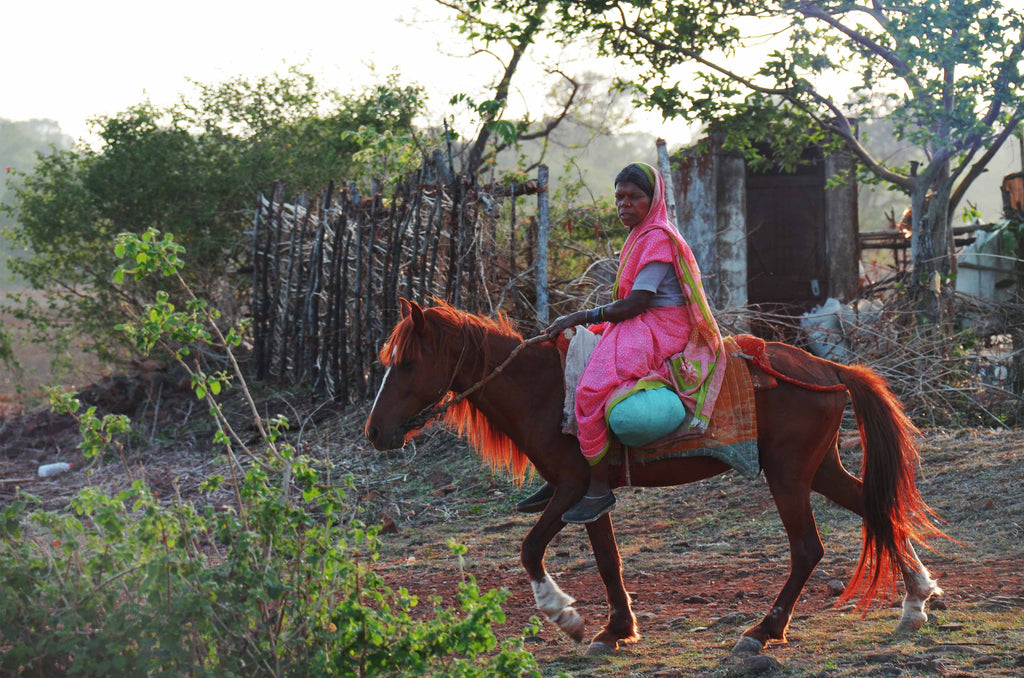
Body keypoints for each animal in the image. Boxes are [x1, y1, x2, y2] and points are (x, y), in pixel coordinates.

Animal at [364, 299, 946, 659]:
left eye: (408, 363)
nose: (374, 432)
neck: (545, 389)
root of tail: (828, 370)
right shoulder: (590, 495)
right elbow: (607, 560)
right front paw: (616, 630)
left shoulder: (571, 487)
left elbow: (530, 549)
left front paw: (566, 617)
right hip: (818, 469)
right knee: (877, 508)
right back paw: (916, 600)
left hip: (787, 474)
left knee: (808, 548)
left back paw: (763, 631)